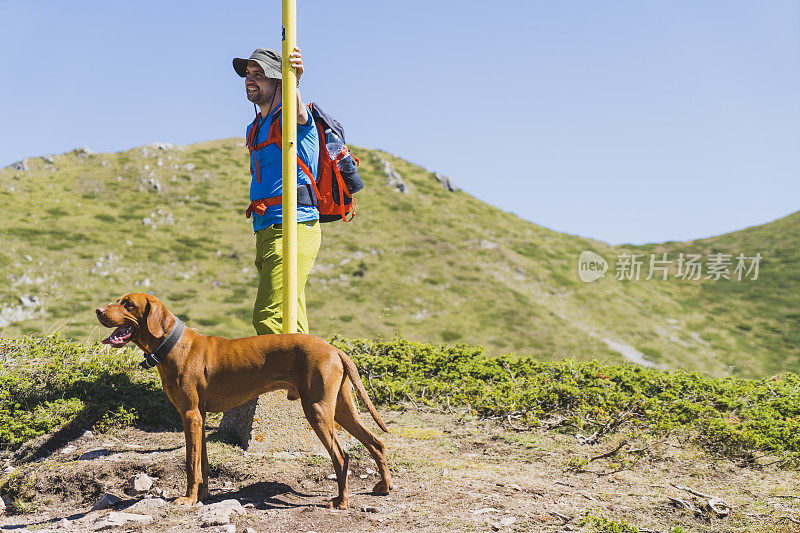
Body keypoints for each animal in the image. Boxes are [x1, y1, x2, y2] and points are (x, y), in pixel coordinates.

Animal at [97, 294, 390, 510]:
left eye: (128, 304)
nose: (98, 310)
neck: (173, 345)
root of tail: (335, 349)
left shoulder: (190, 415)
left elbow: (191, 464)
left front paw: (188, 499)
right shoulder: (200, 417)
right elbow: (203, 463)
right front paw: (202, 496)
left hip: (317, 410)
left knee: (341, 455)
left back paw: (341, 501)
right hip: (341, 409)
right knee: (376, 442)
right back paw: (384, 486)